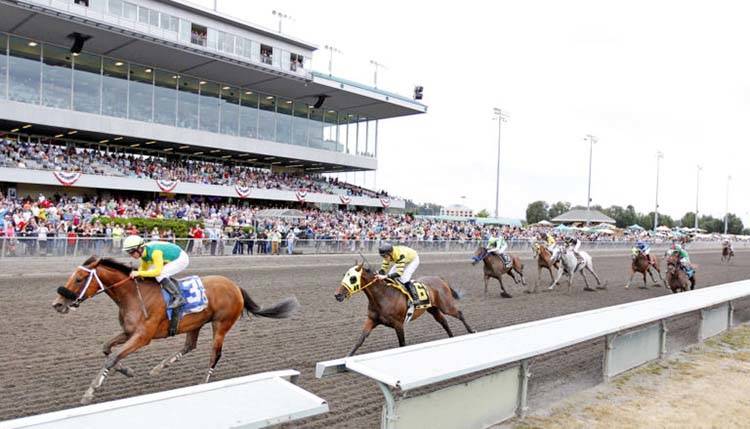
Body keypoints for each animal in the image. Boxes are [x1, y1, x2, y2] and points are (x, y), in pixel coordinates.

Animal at [51, 256, 300, 402]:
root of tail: (235, 286)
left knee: (215, 354)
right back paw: (158, 368)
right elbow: (107, 350)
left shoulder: (143, 337)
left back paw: (203, 383)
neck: (134, 296)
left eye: (79, 278)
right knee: (190, 346)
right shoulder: (129, 333)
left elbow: (112, 358)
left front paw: (90, 392)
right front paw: (127, 370)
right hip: (196, 323)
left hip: (221, 324)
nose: (57, 304)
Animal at [334, 260, 476, 354]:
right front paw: (347, 358)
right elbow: (361, 339)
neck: (383, 296)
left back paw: (471, 331)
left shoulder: (398, 324)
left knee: (459, 313)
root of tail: (440, 279)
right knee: (444, 322)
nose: (337, 295)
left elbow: (402, 344)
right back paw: (451, 337)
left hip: (446, 306)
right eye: (344, 275)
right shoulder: (372, 320)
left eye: (353, 278)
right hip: (433, 309)